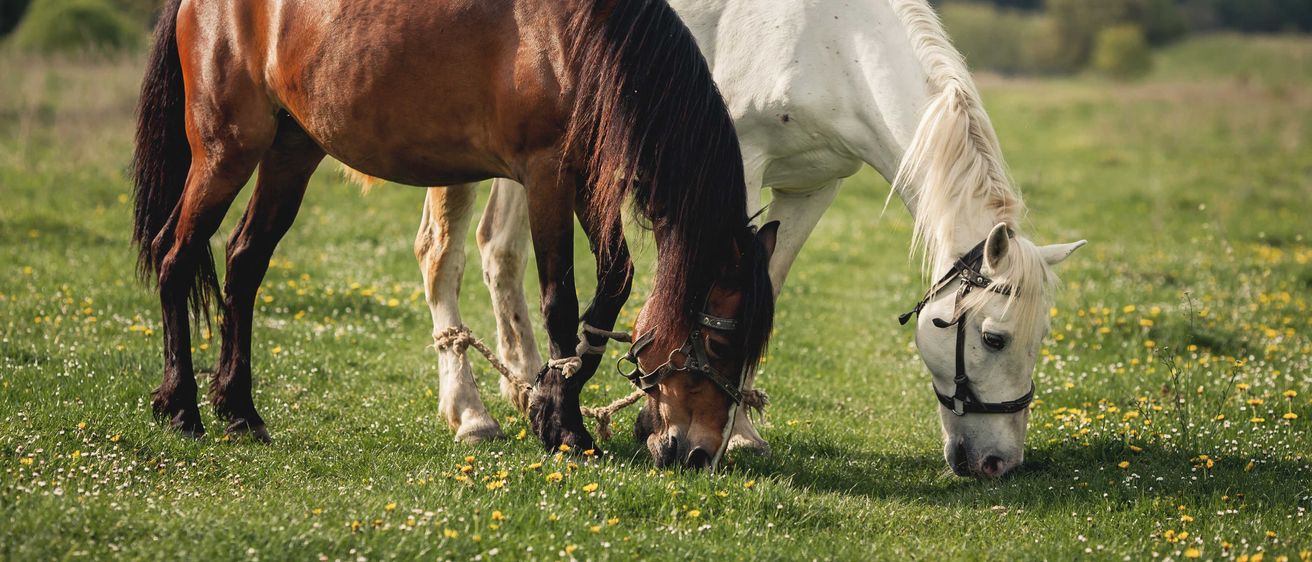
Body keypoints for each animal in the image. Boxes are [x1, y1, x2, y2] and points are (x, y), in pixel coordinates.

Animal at [131, 0, 776, 468]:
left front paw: (548, 402)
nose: (698, 453)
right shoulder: (547, 177)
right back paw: (181, 407)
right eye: (719, 343)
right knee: (174, 256)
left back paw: (239, 410)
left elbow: (613, 285)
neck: (580, 41)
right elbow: (560, 301)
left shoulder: (589, 181)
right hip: (225, 151)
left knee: (244, 262)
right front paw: (565, 428)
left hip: (291, 153)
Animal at [414, 0, 1086, 477]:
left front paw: (738, 427)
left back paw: (528, 385)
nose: (998, 463)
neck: (835, 43)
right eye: (994, 338)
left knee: (499, 250)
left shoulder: (814, 189)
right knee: (441, 254)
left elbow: (768, 286)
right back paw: (471, 413)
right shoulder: (735, 167)